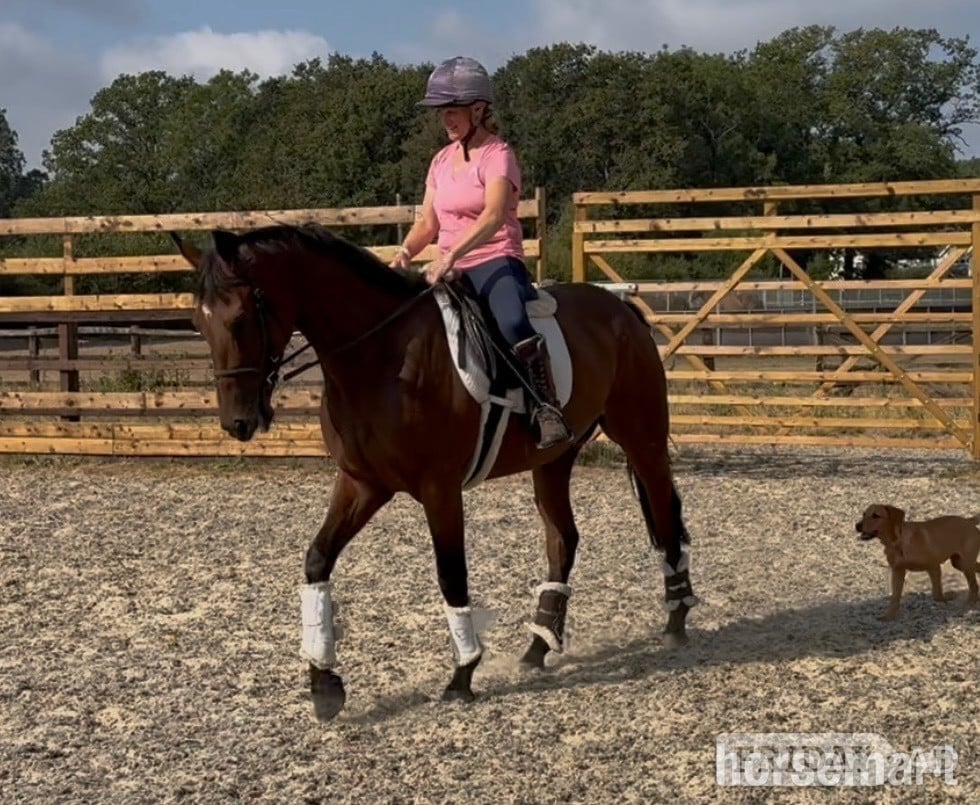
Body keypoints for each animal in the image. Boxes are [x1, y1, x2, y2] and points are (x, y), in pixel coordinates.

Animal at [172, 224, 697, 722]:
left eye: (241, 318)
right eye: (198, 323)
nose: (238, 423)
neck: (380, 356)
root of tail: (621, 309)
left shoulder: (439, 488)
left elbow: (451, 573)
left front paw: (463, 674)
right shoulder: (362, 483)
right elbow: (318, 559)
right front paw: (324, 684)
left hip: (642, 438)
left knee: (664, 510)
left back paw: (677, 619)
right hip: (553, 460)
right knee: (563, 540)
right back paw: (538, 647)